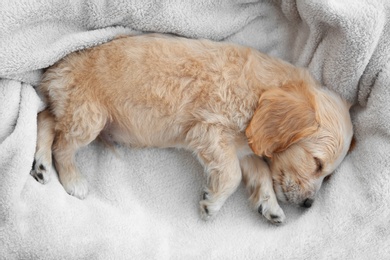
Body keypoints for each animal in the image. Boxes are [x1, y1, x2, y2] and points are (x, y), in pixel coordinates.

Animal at [30, 33, 354, 223]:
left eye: (327, 173)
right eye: (317, 163)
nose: (310, 204)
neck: (260, 93)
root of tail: (51, 71)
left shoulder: (243, 150)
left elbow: (260, 173)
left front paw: (269, 205)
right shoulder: (210, 131)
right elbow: (232, 176)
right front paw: (212, 203)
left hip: (73, 111)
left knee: (44, 119)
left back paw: (41, 165)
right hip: (89, 116)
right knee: (62, 145)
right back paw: (73, 181)